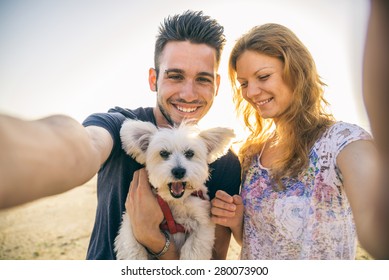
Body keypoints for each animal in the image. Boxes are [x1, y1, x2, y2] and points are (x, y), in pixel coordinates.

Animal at [113, 119, 235, 260]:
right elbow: (131, 244)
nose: (179, 171)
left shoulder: (203, 220)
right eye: (163, 153)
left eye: (190, 153)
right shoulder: (133, 219)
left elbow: (194, 249)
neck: (175, 202)